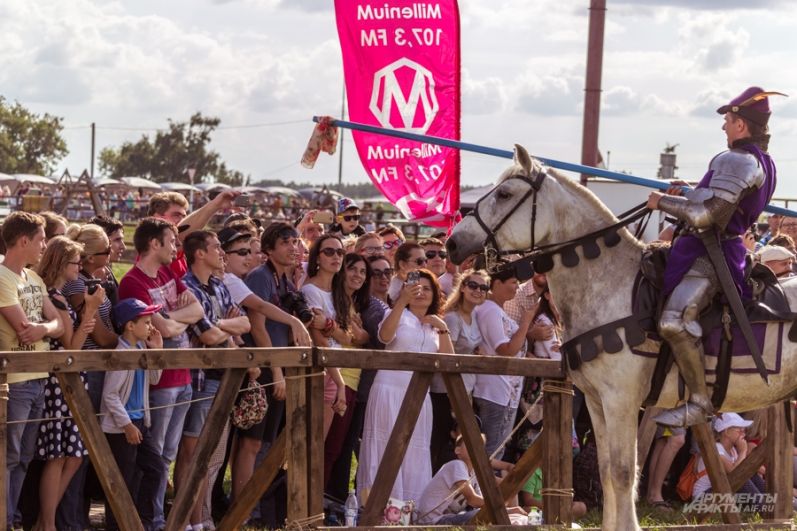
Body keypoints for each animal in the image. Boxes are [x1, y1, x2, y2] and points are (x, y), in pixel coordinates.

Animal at [444, 145, 796, 531]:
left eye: (505, 194)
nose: (452, 243)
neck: (609, 283)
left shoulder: (621, 400)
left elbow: (624, 472)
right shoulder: (598, 402)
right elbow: (608, 470)